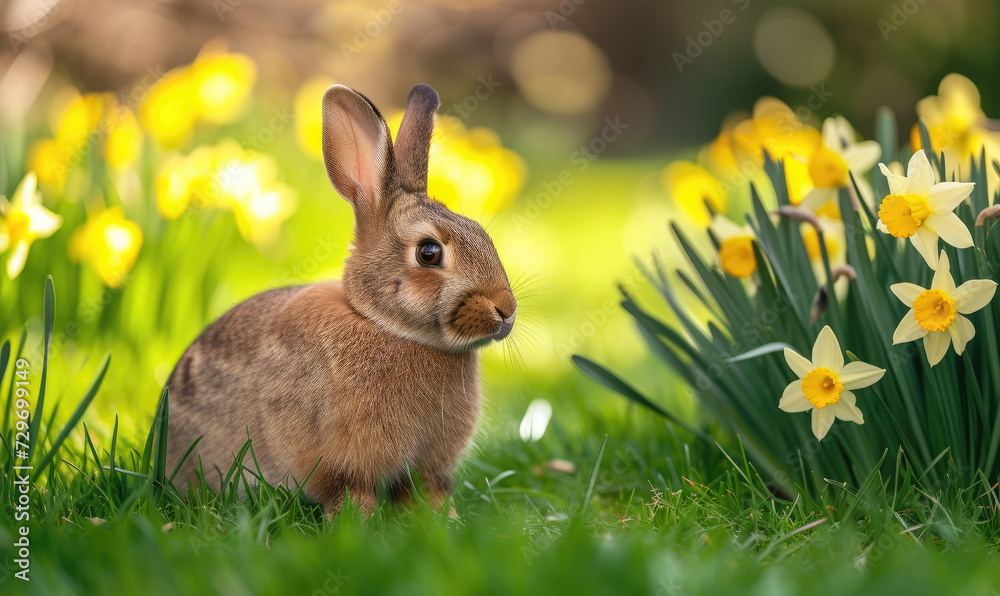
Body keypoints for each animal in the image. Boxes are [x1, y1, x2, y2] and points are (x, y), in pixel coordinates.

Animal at [165, 83, 517, 516]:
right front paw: (356, 522)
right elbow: (351, 491)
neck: (384, 325)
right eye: (429, 252)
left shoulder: (429, 466)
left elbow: (429, 491)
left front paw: (444, 520)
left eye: (482, 234)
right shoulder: (342, 460)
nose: (507, 310)